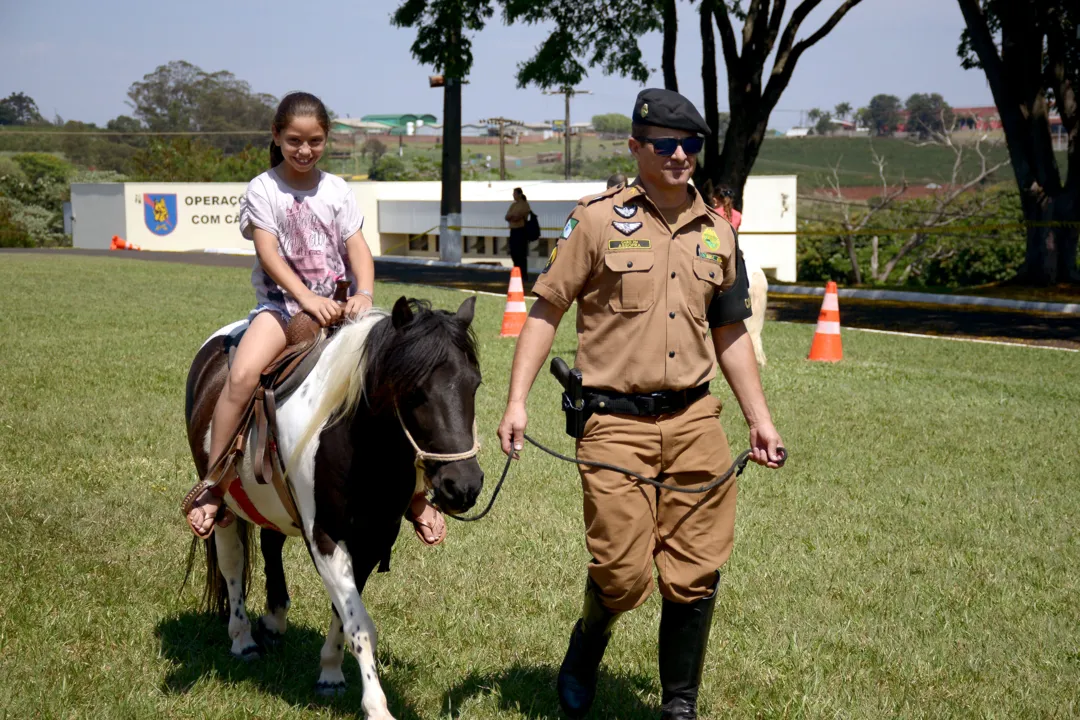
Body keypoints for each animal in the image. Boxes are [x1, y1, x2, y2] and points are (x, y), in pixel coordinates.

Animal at [184, 295, 481, 716]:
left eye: (474, 384)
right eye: (414, 391)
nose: (464, 486)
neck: (357, 443)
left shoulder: (371, 540)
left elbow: (345, 613)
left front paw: (330, 673)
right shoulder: (324, 536)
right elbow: (360, 624)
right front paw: (376, 706)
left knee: (270, 544)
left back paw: (274, 621)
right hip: (224, 504)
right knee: (232, 563)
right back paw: (242, 639)